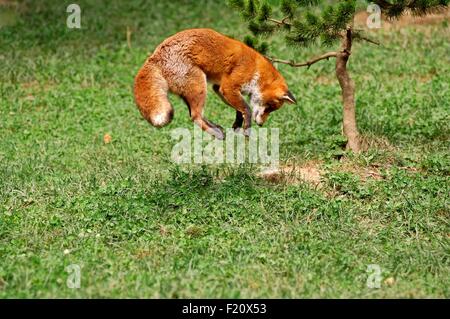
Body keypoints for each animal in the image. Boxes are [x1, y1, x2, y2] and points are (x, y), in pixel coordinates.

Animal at [134, 28, 296, 140]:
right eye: (269, 107)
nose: (261, 124)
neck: (255, 69)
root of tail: (154, 56)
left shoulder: (219, 88)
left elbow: (240, 109)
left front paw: (237, 124)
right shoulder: (228, 87)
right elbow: (247, 108)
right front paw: (246, 128)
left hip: (192, 91)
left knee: (194, 114)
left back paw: (216, 128)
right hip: (199, 86)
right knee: (195, 116)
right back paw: (217, 134)